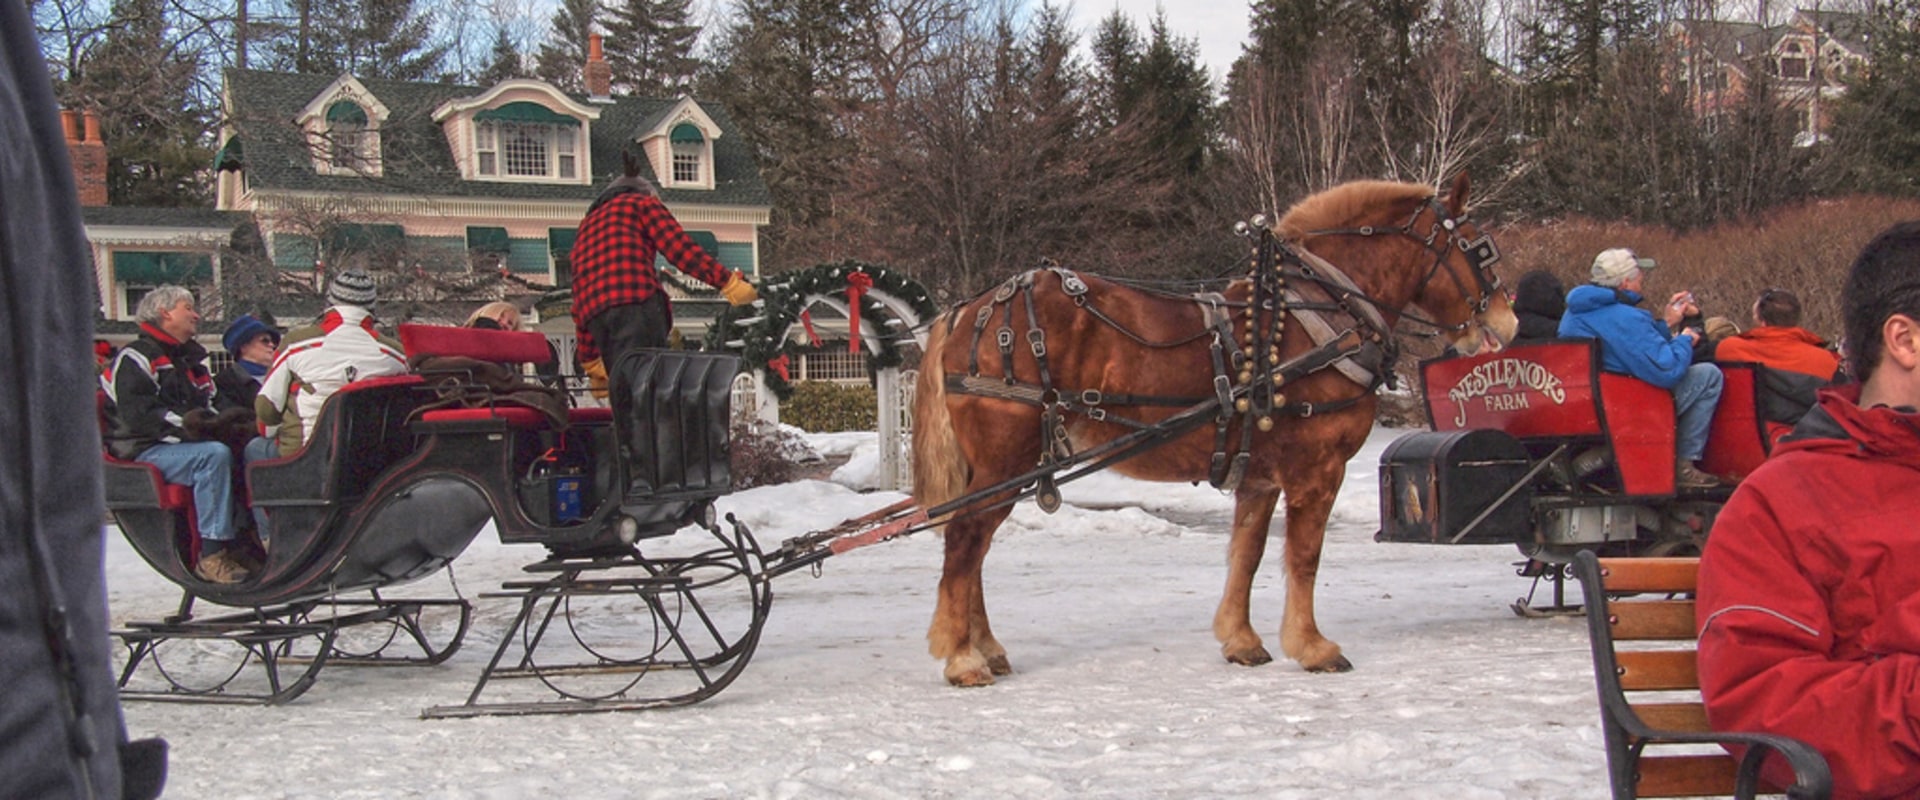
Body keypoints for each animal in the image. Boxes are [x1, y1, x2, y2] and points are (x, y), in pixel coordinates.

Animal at [906, 171, 1520, 682]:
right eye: (1478, 246)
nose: (1508, 320)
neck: (1318, 316)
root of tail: (970, 312)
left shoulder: (1260, 477)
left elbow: (1247, 553)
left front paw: (1241, 639)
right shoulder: (1319, 469)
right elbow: (1304, 557)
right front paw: (1312, 646)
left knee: (975, 545)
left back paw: (984, 646)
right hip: (1003, 459)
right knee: (965, 540)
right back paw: (961, 657)